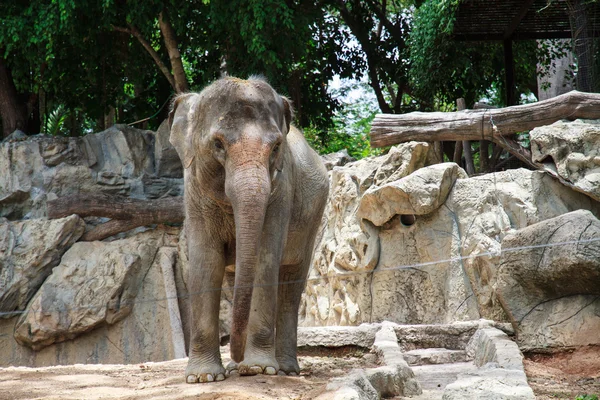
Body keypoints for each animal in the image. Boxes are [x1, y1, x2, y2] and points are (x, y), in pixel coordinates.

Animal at [169, 76, 328, 384]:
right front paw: (203, 377)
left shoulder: (281, 192)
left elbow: (266, 260)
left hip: (313, 218)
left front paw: (259, 369)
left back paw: (285, 369)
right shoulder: (194, 193)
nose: (236, 350)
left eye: (276, 147)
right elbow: (206, 263)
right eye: (218, 144)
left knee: (291, 282)